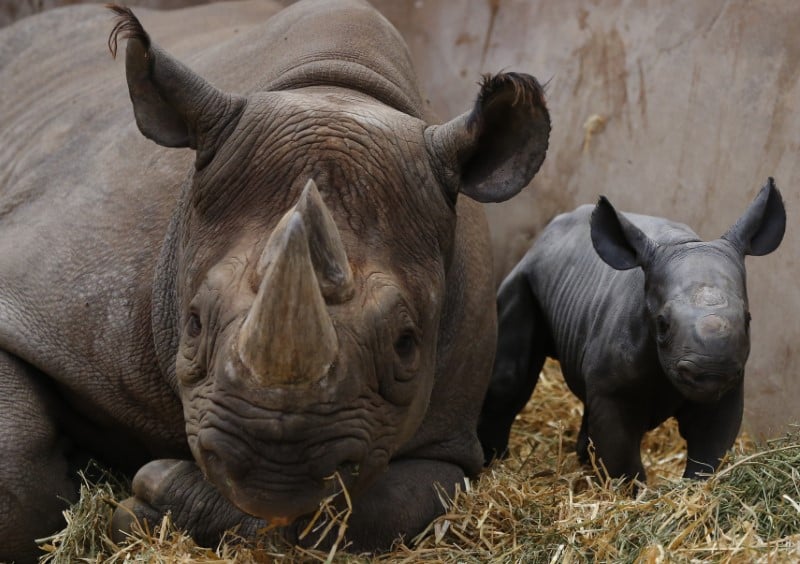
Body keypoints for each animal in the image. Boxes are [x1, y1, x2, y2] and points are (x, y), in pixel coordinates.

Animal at [0, 0, 551, 560]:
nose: (273, 468)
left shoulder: (450, 434)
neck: (335, 86)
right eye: (193, 323)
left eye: (406, 344)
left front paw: (154, 502)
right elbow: (18, 478)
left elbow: (382, 507)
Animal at [478, 180, 785, 482]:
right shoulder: (614, 393)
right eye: (662, 324)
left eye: (748, 319)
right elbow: (623, 459)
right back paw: (494, 462)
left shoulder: (727, 389)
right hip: (523, 277)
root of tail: (544, 236)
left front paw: (694, 486)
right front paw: (630, 491)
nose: (710, 372)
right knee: (509, 377)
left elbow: (708, 452)